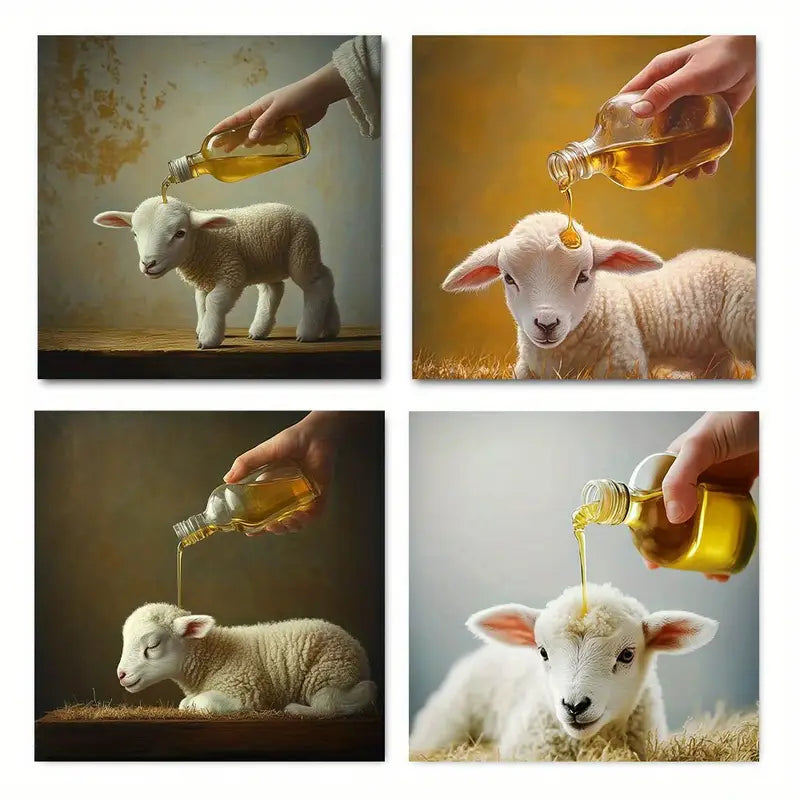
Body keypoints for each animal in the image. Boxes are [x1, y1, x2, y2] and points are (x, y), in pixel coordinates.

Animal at [93, 196, 340, 349]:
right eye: (134, 234)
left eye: (180, 233)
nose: (148, 263)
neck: (204, 240)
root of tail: (299, 213)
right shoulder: (205, 280)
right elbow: (201, 305)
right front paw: (203, 328)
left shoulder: (231, 273)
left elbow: (214, 302)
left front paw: (209, 338)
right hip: (269, 262)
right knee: (288, 286)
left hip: (301, 251)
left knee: (317, 283)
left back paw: (308, 332)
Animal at [116, 603, 376, 716]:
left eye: (152, 645)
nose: (121, 675)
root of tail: (360, 652)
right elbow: (185, 703)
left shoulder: (243, 692)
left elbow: (198, 704)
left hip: (329, 672)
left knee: (332, 703)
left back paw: (294, 708)